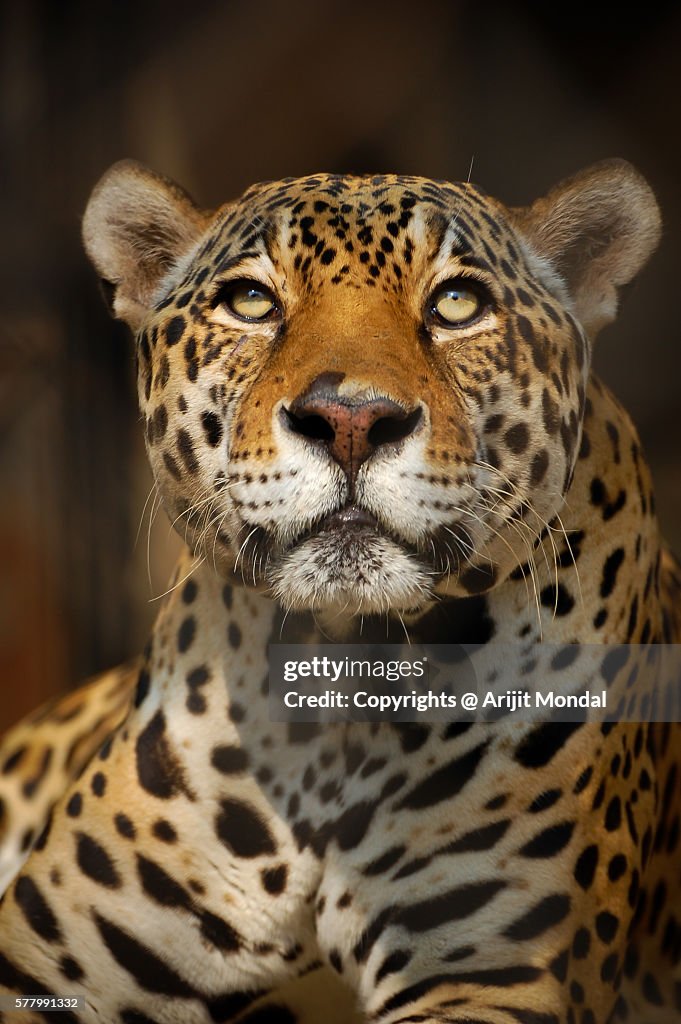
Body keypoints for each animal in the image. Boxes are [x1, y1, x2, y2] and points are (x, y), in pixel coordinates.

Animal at [0, 156, 680, 1024]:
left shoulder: (495, 978)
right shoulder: (46, 967)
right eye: (250, 301)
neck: (331, 695)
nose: (351, 420)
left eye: (456, 303)